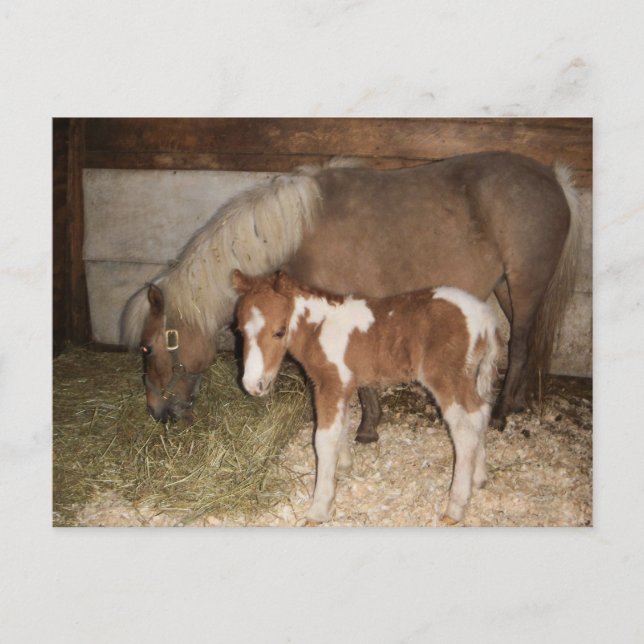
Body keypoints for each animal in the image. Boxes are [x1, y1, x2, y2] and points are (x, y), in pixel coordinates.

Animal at [121, 152, 581, 433]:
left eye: (148, 348)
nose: (156, 412)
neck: (299, 230)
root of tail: (553, 178)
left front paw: (366, 427)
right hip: (507, 289)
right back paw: (515, 403)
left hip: (524, 285)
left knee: (519, 346)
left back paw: (501, 413)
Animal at [232, 269, 502, 525]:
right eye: (240, 331)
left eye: (279, 331)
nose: (253, 385)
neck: (320, 327)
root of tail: (486, 315)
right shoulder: (343, 385)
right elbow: (343, 425)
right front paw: (343, 466)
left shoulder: (331, 383)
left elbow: (324, 438)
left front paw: (319, 508)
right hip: (468, 376)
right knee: (481, 412)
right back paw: (479, 478)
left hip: (446, 378)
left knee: (464, 429)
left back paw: (455, 508)